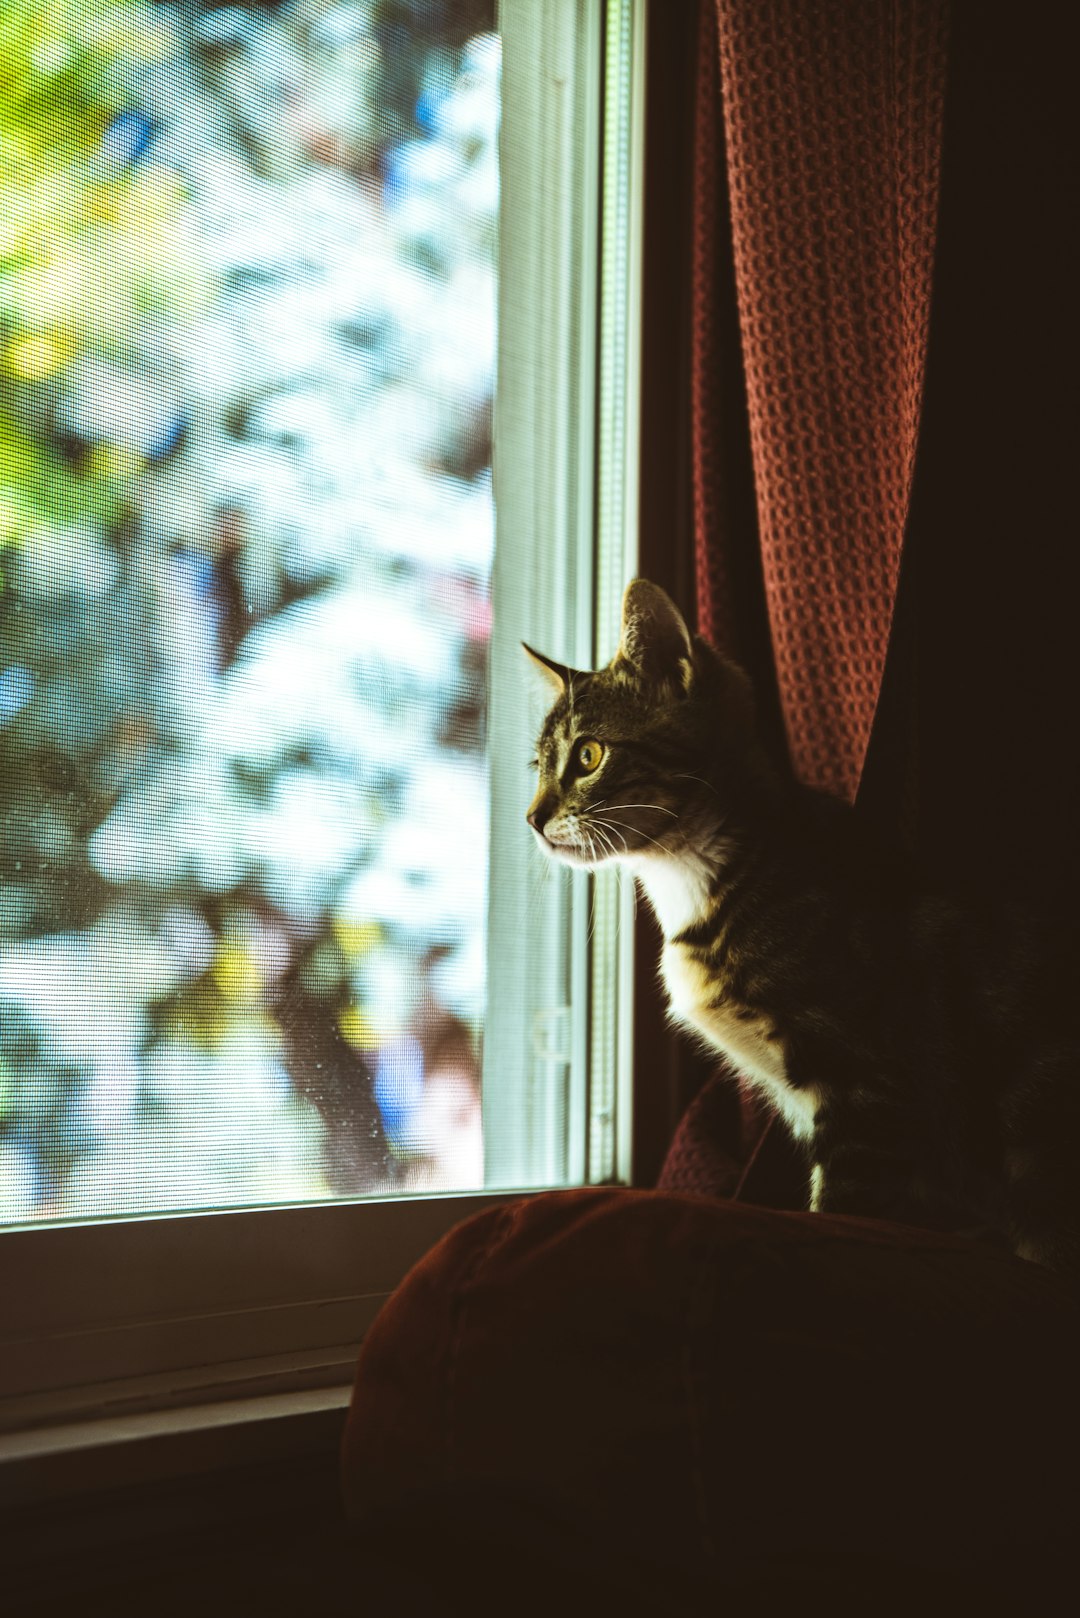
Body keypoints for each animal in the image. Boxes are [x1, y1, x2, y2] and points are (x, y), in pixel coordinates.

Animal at [524, 576, 1080, 1281]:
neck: (702, 873)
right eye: (538, 766)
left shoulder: (866, 1091)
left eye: (589, 755)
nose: (531, 818)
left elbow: (842, 1214)